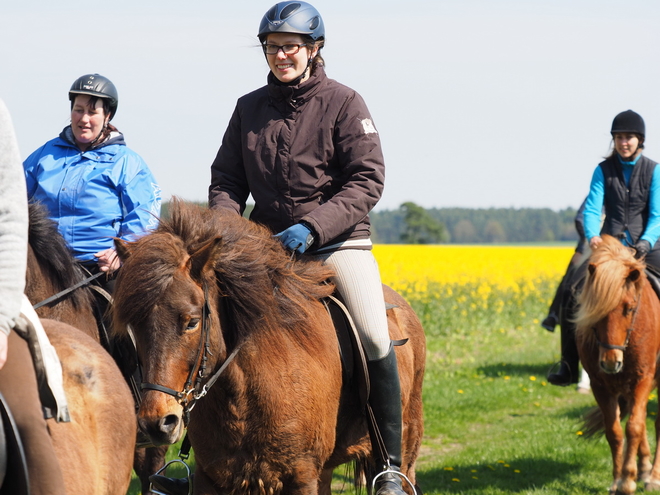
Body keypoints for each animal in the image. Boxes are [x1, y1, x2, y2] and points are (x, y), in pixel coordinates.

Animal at [111, 201, 426, 495]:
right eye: (134, 327)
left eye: (192, 322)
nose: (157, 423)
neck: (244, 396)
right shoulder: (212, 477)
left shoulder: (302, 477)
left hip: (405, 447)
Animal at [576, 234, 660, 494]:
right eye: (596, 310)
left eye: (630, 308)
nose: (611, 363)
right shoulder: (600, 386)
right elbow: (614, 431)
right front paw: (619, 479)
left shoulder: (643, 378)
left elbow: (634, 427)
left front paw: (627, 482)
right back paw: (643, 469)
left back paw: (653, 476)